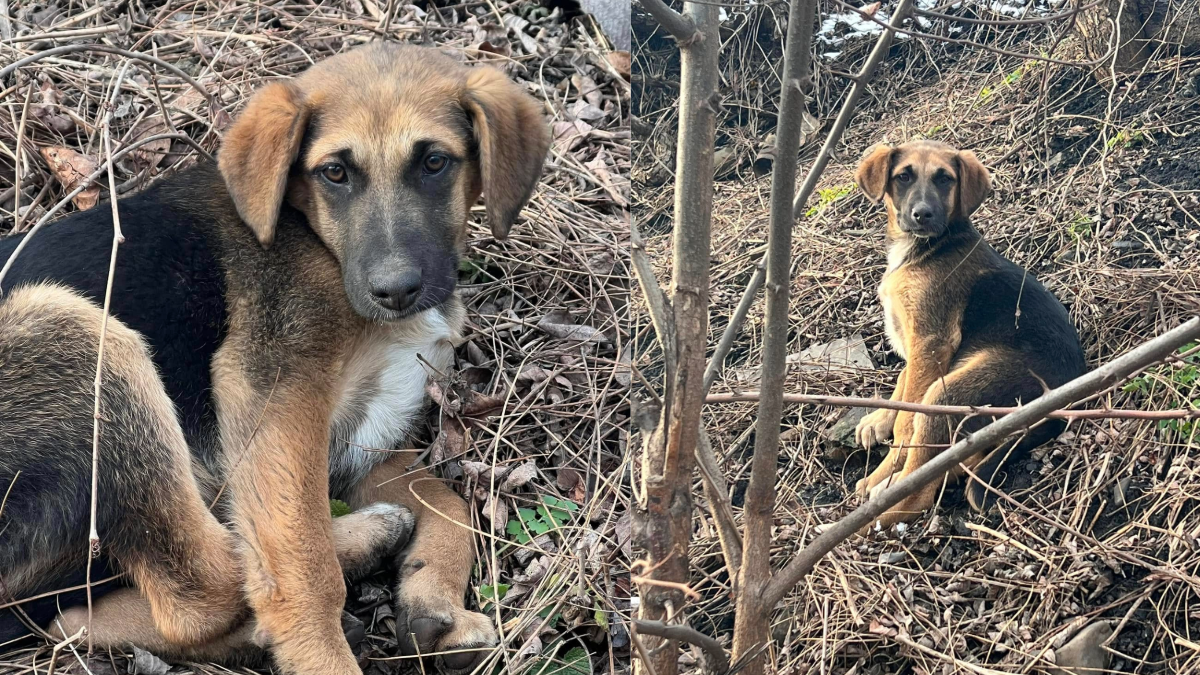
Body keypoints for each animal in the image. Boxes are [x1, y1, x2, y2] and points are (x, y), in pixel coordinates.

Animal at [0, 43, 549, 672]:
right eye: (334, 172)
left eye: (435, 163)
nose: (395, 290)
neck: (315, 233)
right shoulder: (278, 394)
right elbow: (305, 567)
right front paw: (324, 650)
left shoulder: (365, 446)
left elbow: (448, 505)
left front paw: (436, 605)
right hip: (75, 334)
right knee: (207, 590)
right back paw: (357, 544)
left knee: (72, 619)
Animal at [854, 139, 1089, 528]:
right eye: (903, 176)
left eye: (945, 179)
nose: (922, 215)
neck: (926, 247)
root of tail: (1066, 400)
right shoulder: (917, 344)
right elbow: (902, 383)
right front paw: (878, 420)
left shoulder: (931, 342)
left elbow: (906, 419)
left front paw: (882, 471)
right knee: (952, 465)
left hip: (949, 394)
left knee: (921, 491)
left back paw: (877, 511)